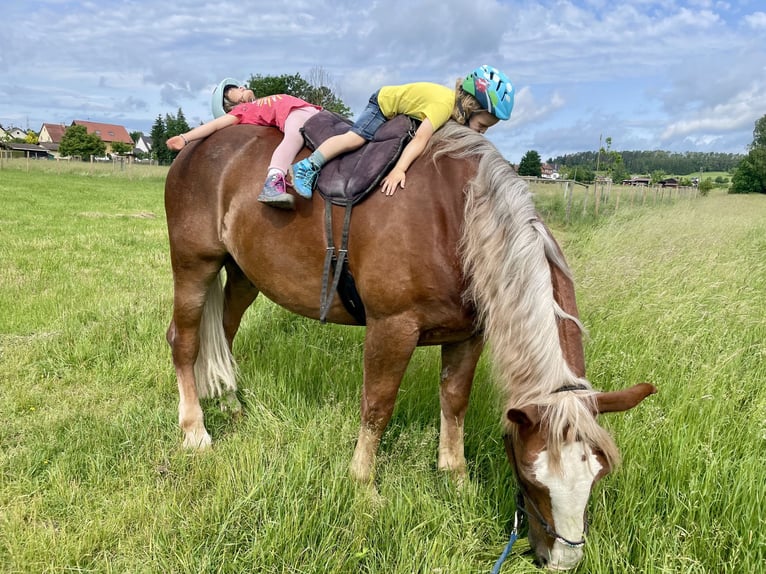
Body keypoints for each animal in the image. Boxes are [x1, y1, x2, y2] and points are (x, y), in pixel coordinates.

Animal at [164, 120, 656, 570]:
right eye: (531, 476)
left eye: (597, 476)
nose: (561, 561)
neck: (457, 219)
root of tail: (194, 147)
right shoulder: (392, 328)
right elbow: (377, 407)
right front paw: (364, 488)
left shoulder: (467, 337)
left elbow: (454, 404)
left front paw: (456, 481)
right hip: (194, 265)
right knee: (184, 341)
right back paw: (195, 431)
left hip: (242, 275)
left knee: (223, 337)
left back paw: (230, 405)